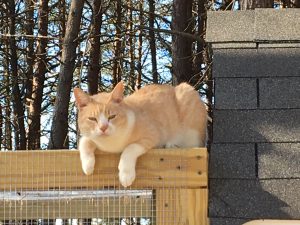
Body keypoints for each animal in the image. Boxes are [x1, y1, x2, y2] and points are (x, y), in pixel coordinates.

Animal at [74, 81, 207, 187]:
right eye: (92, 119)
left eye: (112, 116)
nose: (103, 127)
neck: (111, 145)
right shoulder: (90, 137)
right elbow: (84, 142)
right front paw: (87, 166)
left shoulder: (153, 134)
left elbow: (129, 148)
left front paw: (126, 175)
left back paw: (172, 145)